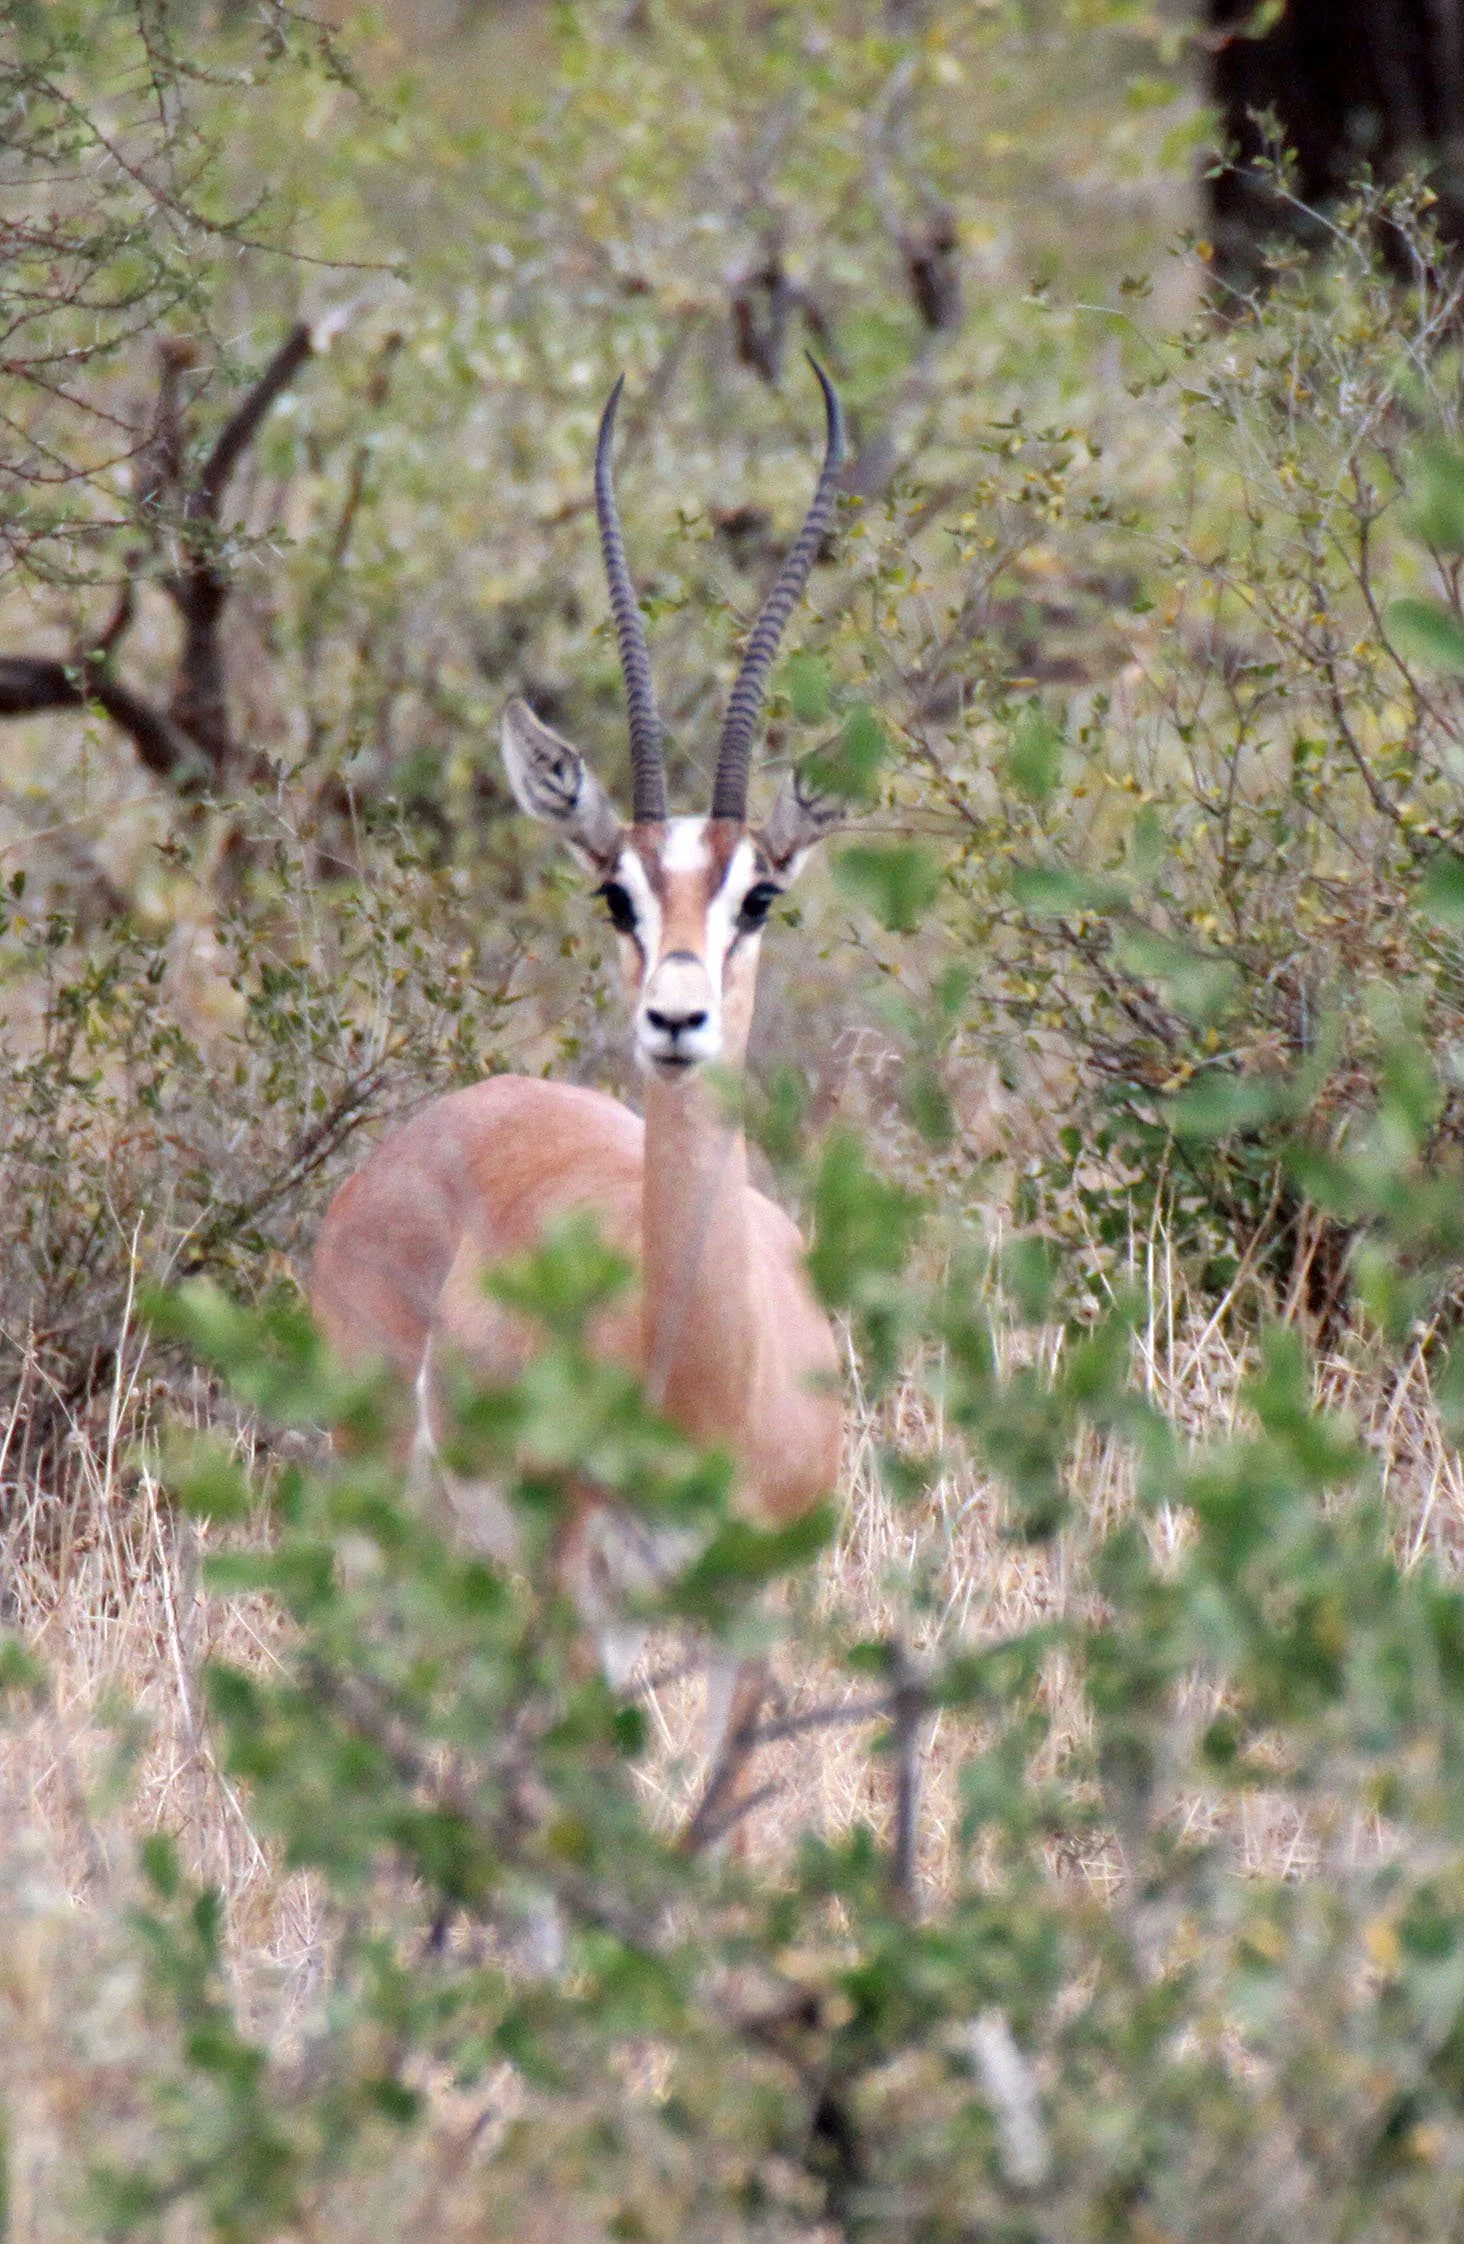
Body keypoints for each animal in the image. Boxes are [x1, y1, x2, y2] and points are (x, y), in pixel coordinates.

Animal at [310, 364, 847, 1761]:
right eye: (617, 893)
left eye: (760, 896)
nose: (675, 1022)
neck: (700, 1380)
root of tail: (449, 1117)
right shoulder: (582, 1595)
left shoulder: (754, 1617)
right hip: (383, 1500)